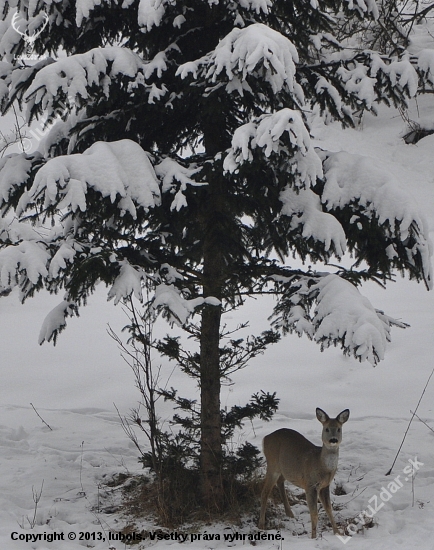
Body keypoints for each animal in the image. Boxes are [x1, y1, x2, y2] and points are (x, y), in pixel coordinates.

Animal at [258, 410, 350, 540]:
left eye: (339, 429)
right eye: (326, 429)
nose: (333, 440)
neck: (321, 465)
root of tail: (265, 438)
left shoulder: (324, 485)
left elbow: (329, 509)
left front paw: (337, 533)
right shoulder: (310, 485)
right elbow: (314, 513)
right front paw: (313, 537)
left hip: (285, 469)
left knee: (280, 482)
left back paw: (290, 514)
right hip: (272, 464)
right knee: (265, 492)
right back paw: (261, 525)